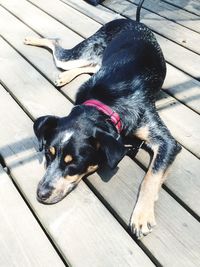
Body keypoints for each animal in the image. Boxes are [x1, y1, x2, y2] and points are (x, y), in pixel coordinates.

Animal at [23, 17, 181, 240]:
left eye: (74, 163)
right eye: (48, 154)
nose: (41, 194)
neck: (104, 103)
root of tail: (130, 19)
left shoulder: (166, 141)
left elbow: (150, 177)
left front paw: (141, 216)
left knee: (75, 55)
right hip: (81, 53)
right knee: (70, 53)